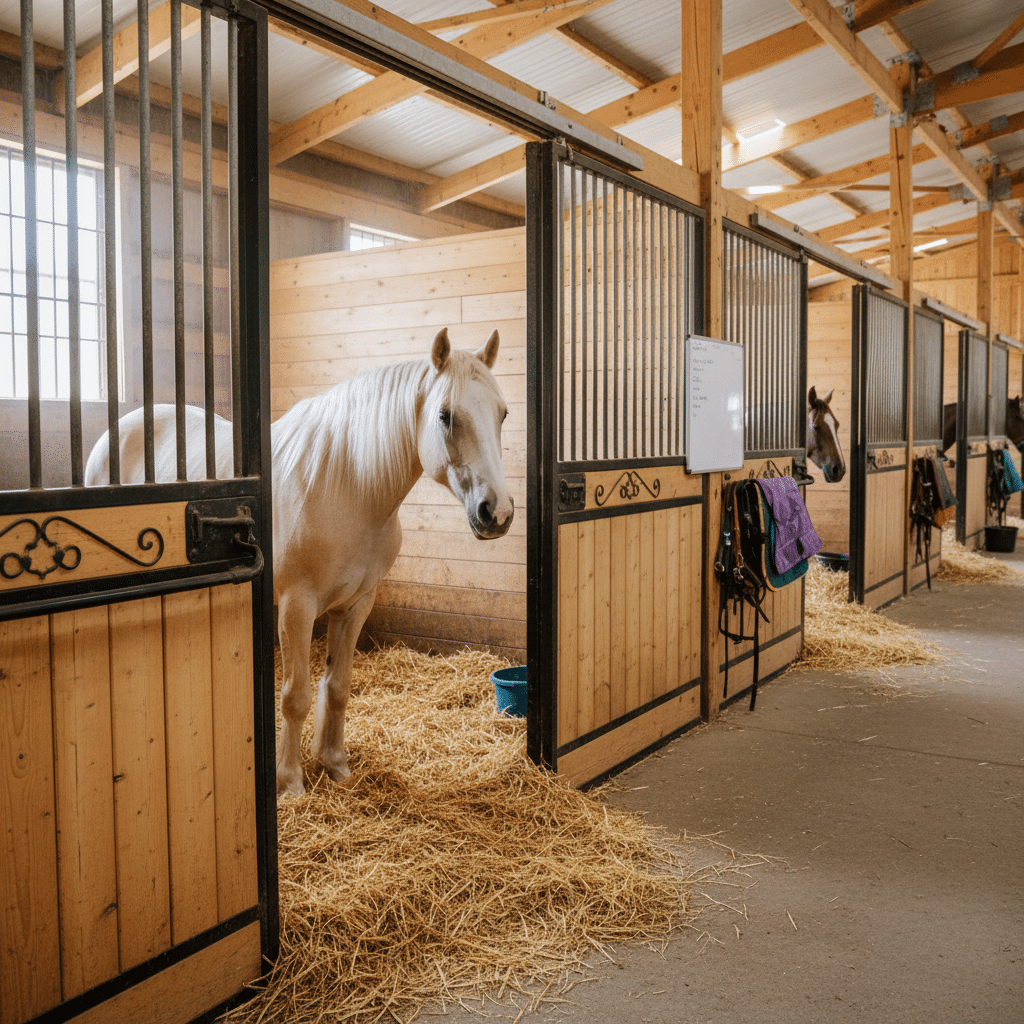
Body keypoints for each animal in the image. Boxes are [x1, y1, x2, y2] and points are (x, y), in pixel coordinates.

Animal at [85, 328, 514, 797]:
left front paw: (335, 764)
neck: (350, 486)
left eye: (503, 413)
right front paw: (289, 781)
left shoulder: (356, 605)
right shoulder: (297, 605)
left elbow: (338, 687)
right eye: (445, 415)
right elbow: (296, 697)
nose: (497, 513)